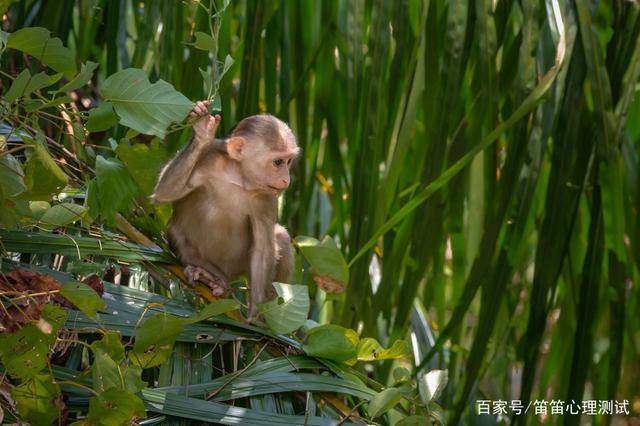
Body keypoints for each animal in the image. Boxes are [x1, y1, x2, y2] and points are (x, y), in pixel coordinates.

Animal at [152, 100, 300, 320]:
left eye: (288, 162)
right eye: (278, 162)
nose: (286, 179)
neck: (239, 177)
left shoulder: (267, 198)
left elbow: (263, 249)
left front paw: (255, 316)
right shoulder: (209, 157)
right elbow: (165, 192)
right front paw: (202, 131)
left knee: (280, 236)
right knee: (175, 230)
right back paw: (209, 276)